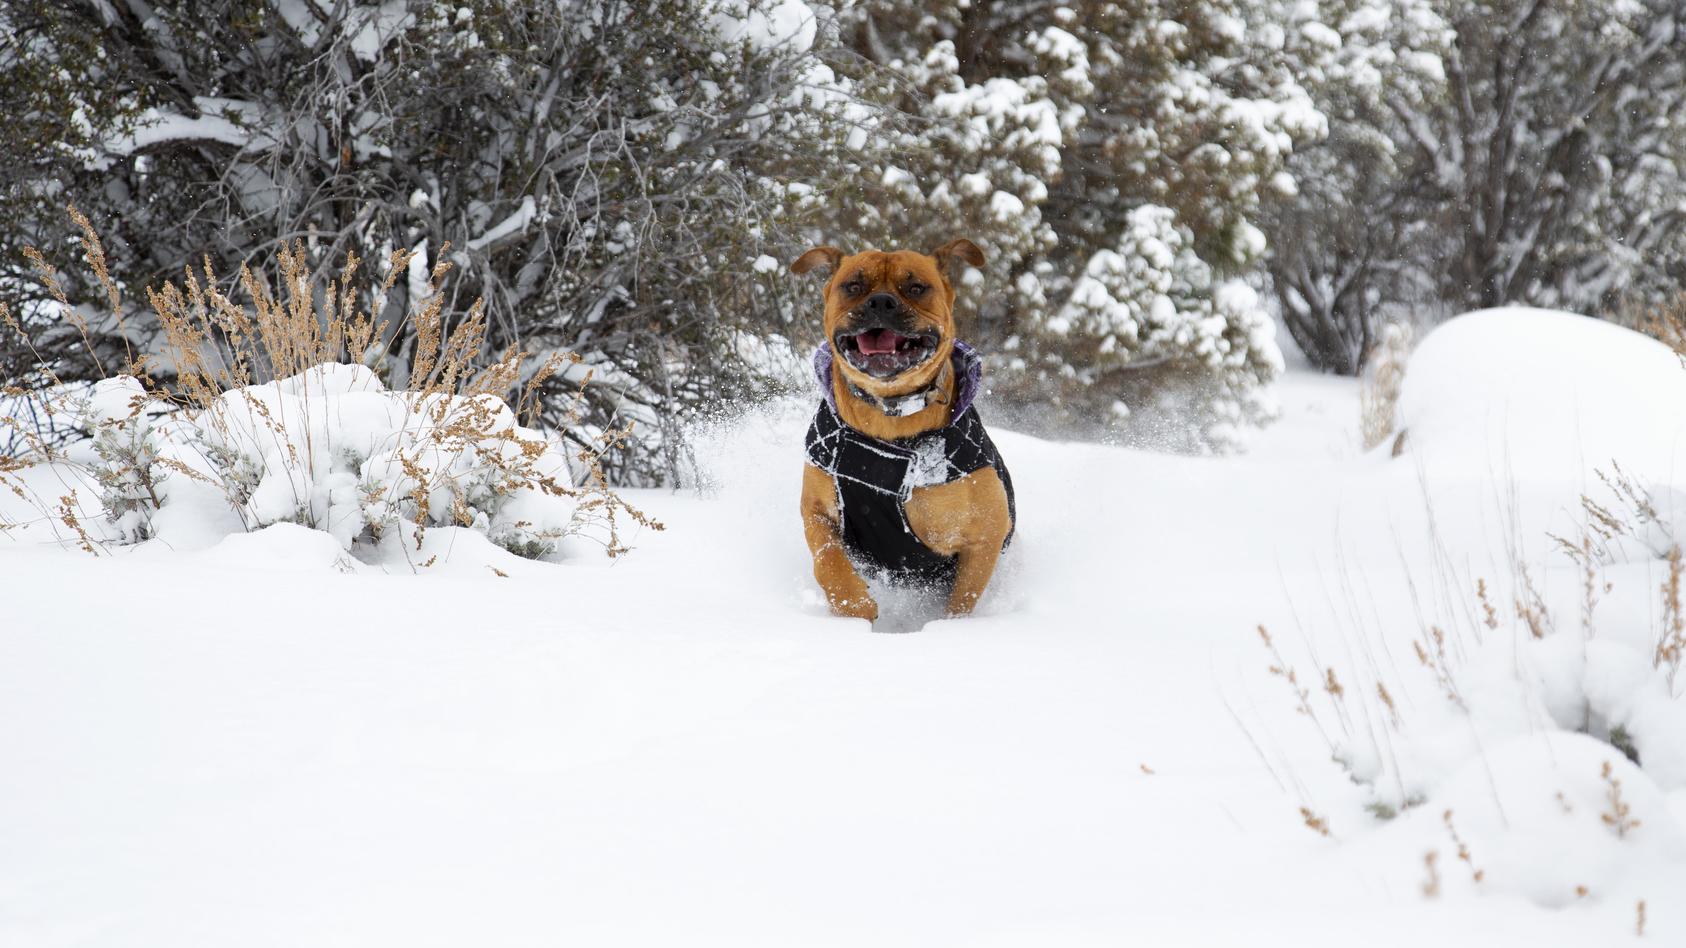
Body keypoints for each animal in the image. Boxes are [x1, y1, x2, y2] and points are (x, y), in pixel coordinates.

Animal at [789, 239, 1011, 617]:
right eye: (854, 286)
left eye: (916, 288)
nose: (881, 301)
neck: (889, 414)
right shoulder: (817, 510)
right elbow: (828, 561)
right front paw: (854, 604)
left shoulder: (986, 532)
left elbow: (962, 600)